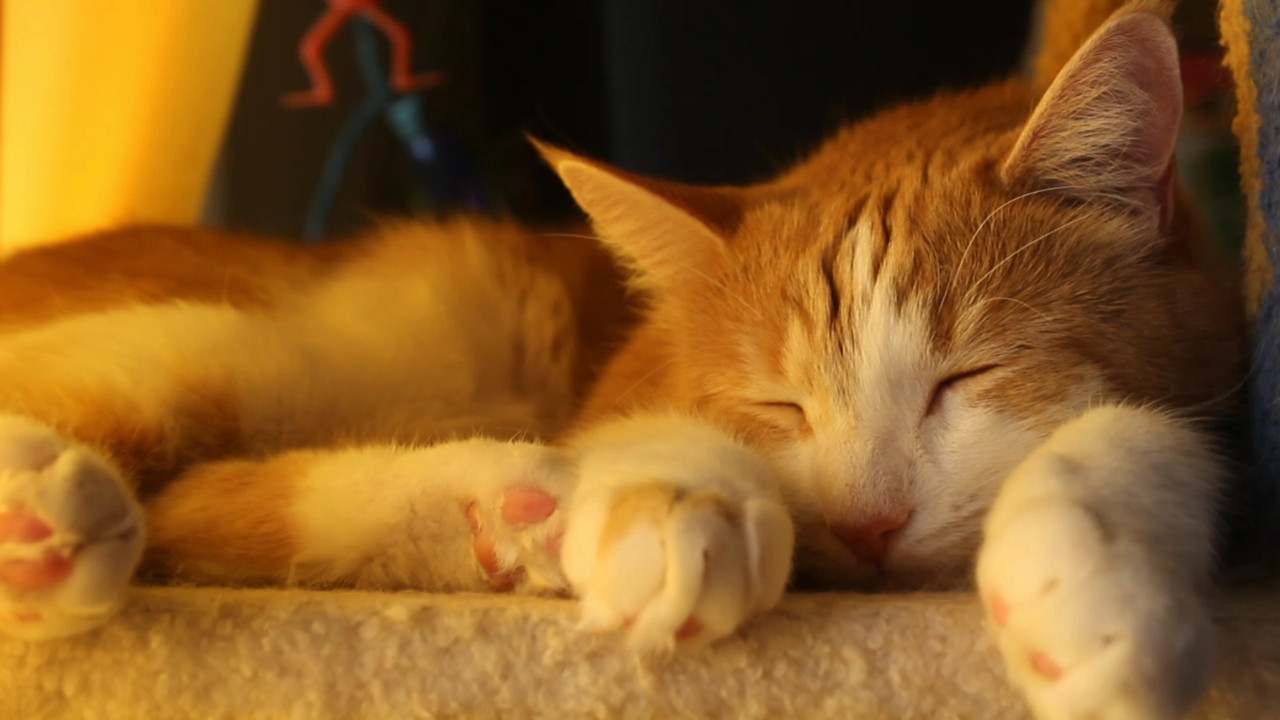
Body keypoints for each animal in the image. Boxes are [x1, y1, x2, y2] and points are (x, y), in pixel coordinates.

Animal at [0, 0, 1239, 712]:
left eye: (965, 379)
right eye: (776, 406)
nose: (866, 524)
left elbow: (1139, 439)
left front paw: (1090, 568)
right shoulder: (622, 383)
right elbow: (656, 431)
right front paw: (679, 501)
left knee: (191, 501)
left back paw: (503, 509)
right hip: (353, 328)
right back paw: (42, 510)